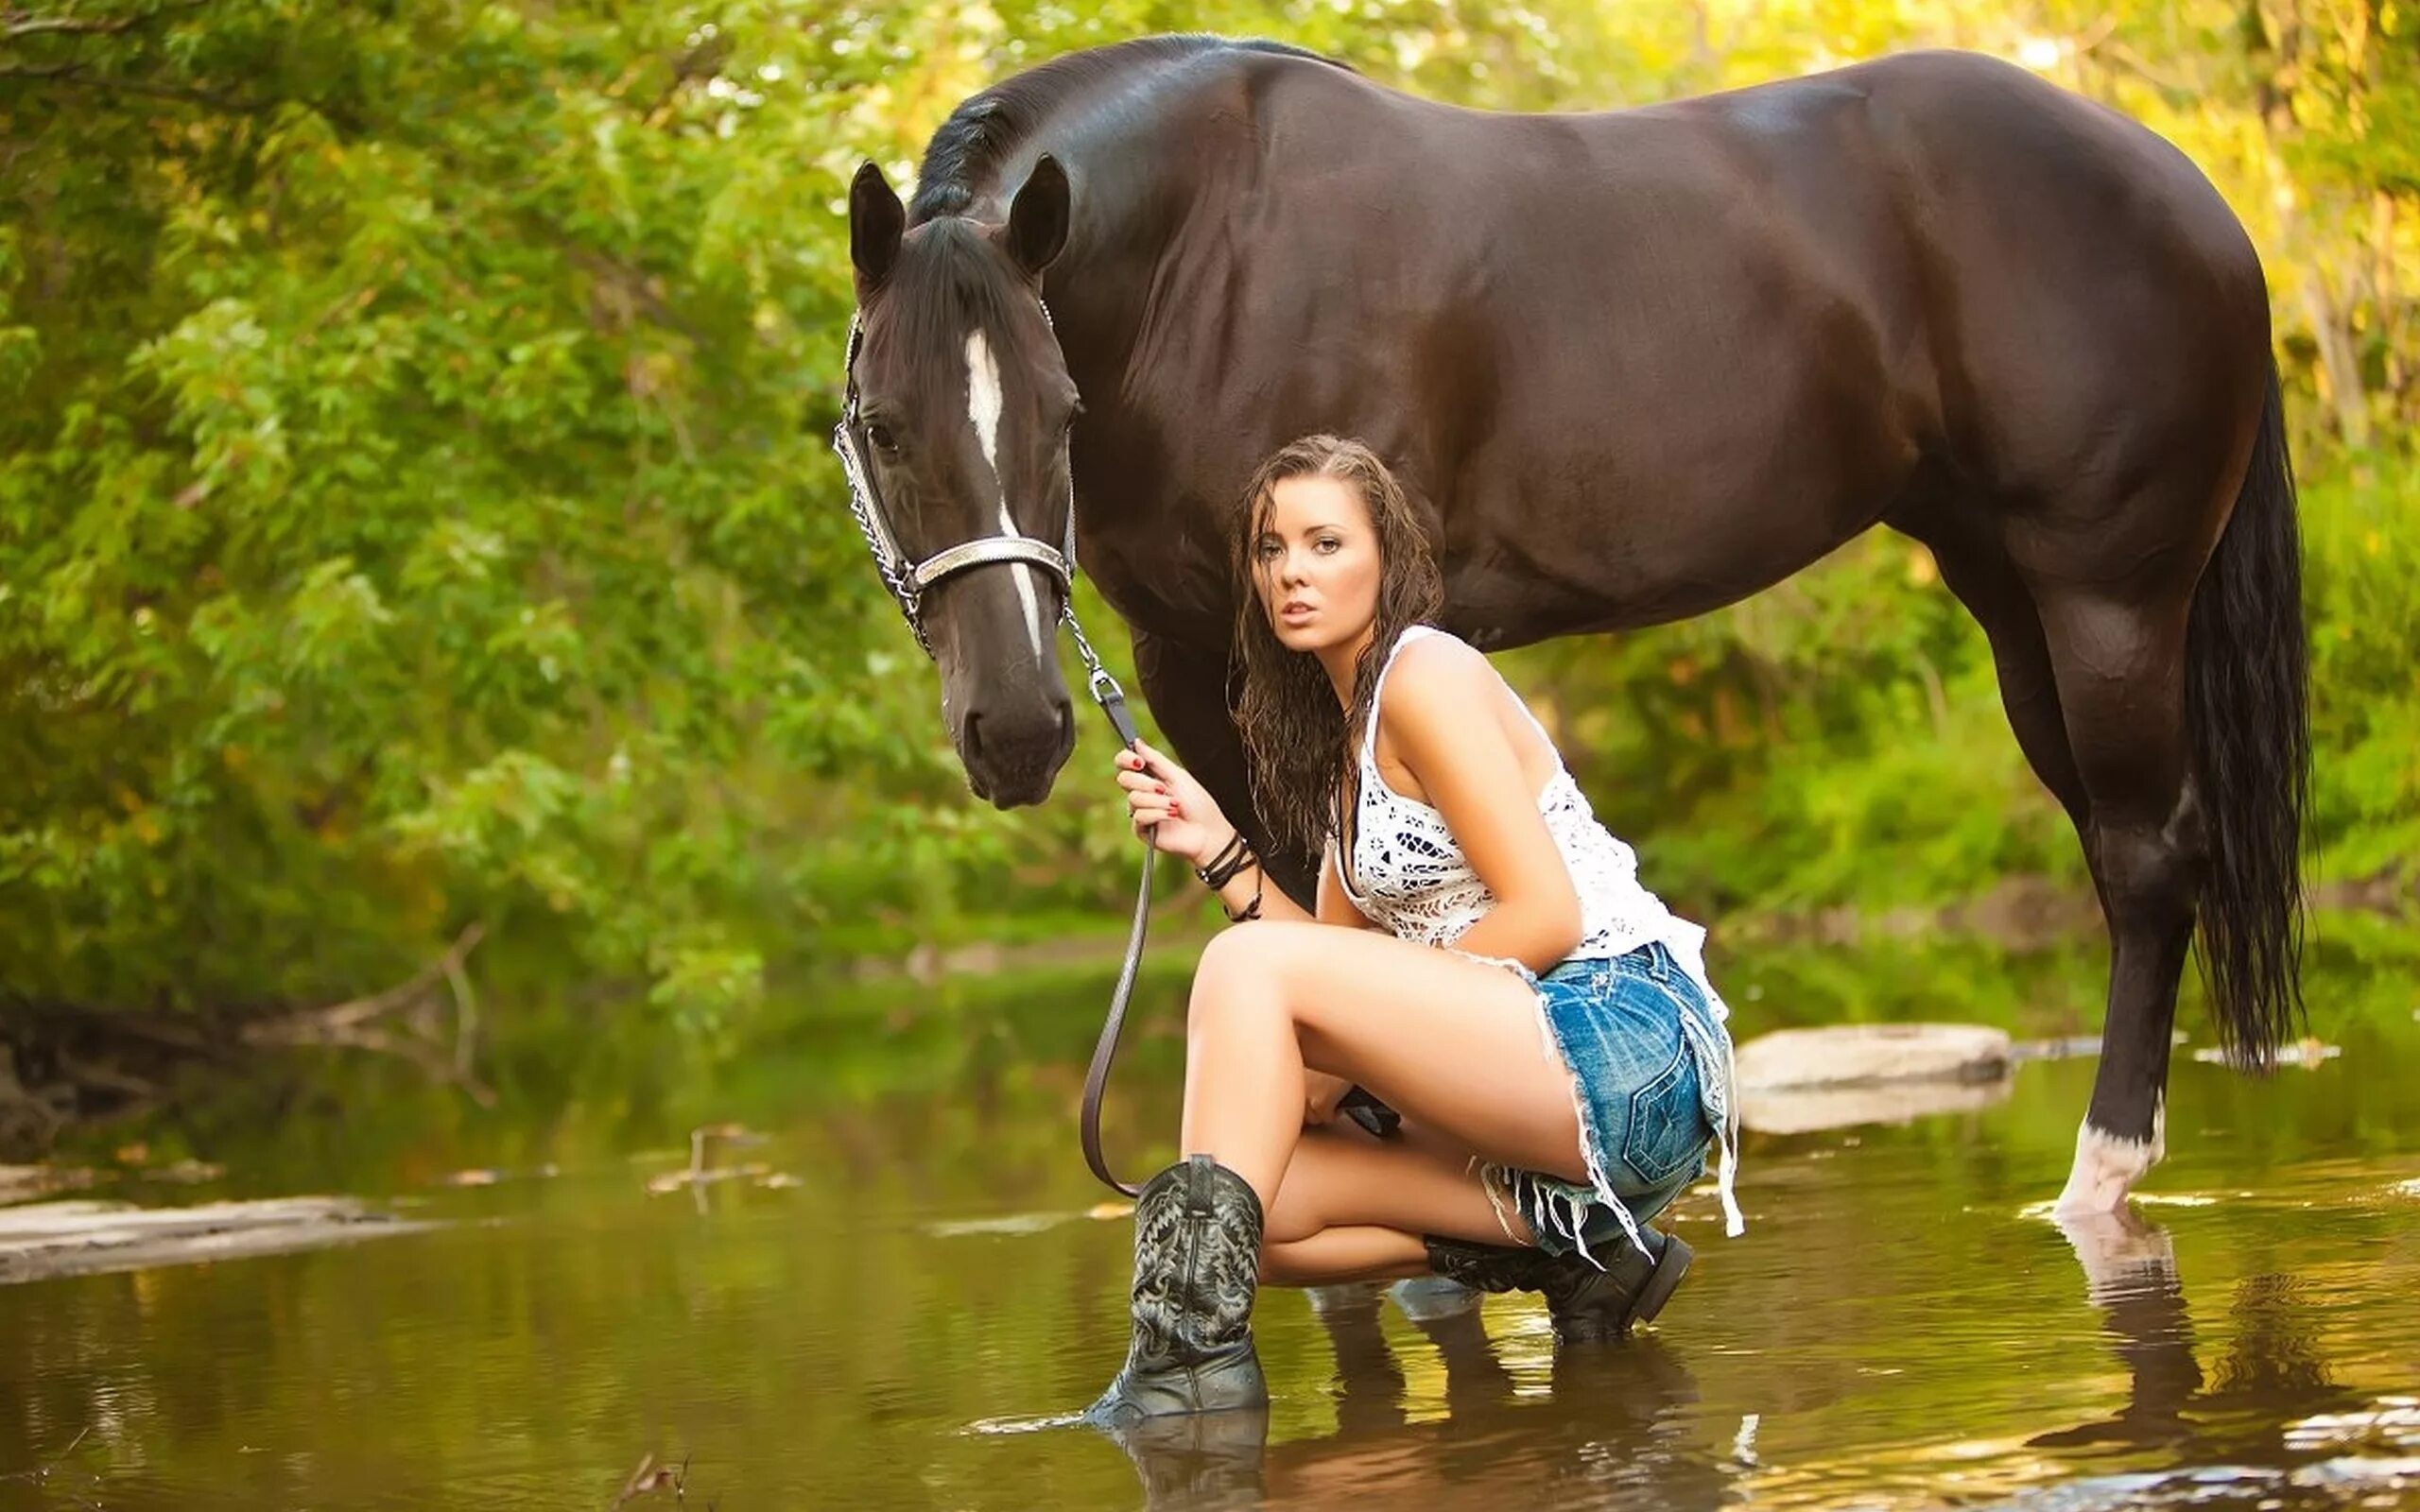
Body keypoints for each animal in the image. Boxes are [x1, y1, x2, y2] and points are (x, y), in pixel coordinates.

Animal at [847, 35, 2304, 1214]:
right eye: (884, 425)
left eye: (1061, 416)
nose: (1018, 729)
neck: (1216, 254)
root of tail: (2199, 201)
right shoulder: (1198, 660)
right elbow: (1287, 914)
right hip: (2012, 601)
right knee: (2121, 850)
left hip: (2107, 598)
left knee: (2147, 856)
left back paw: (2098, 1182)